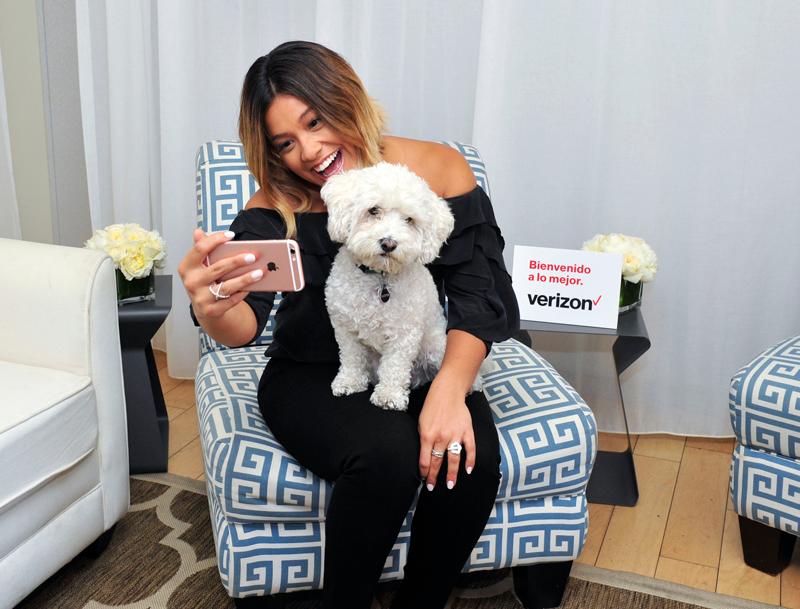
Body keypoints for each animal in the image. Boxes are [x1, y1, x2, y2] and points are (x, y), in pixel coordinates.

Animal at [318, 162, 482, 410]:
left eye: (409, 220)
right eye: (373, 210)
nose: (389, 243)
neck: (380, 277)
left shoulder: (404, 333)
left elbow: (395, 365)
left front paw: (388, 395)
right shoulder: (345, 328)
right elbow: (351, 356)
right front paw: (350, 381)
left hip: (435, 347)